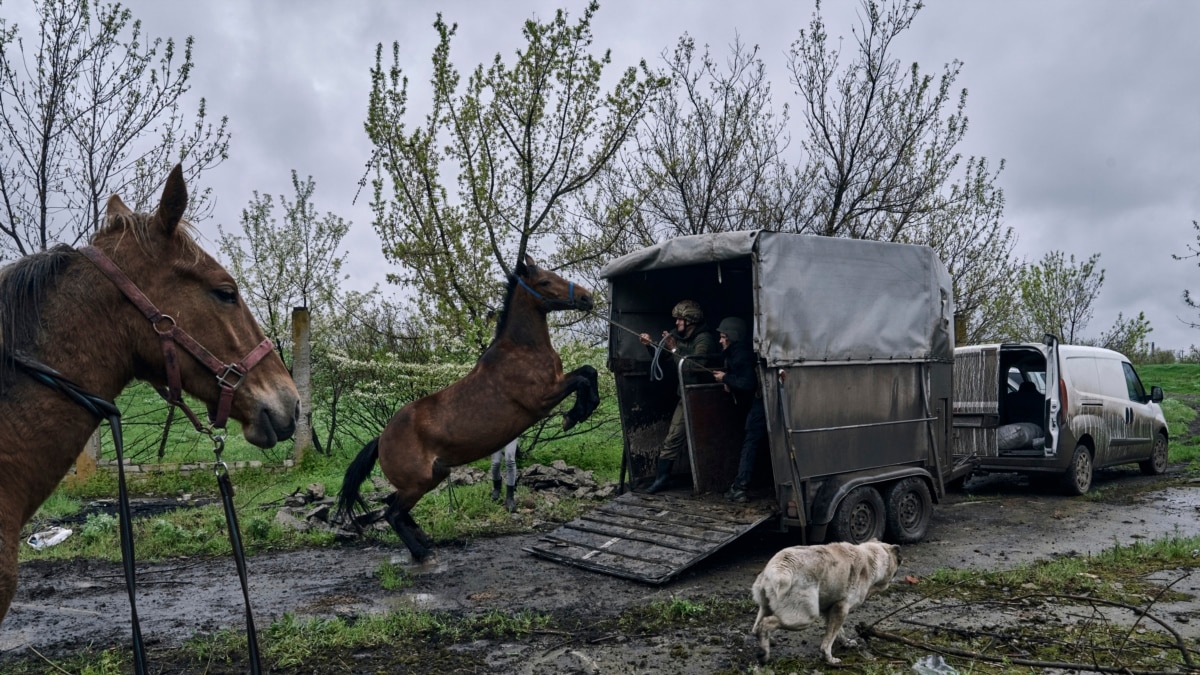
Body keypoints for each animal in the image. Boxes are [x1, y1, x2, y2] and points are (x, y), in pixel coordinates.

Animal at [338, 254, 600, 559]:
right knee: (392, 513)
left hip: (432, 477)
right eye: (545, 281)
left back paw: (426, 540)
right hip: (417, 483)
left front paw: (582, 409)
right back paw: (421, 552)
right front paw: (575, 415)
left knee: (393, 505)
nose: (586, 297)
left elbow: (589, 371)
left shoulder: (557, 382)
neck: (522, 350)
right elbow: (582, 379)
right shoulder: (542, 398)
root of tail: (381, 439)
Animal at [748, 535, 902, 662]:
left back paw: (765, 645)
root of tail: (779, 567)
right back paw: (764, 653)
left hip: (766, 607)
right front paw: (829, 658)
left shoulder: (831, 609)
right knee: (766, 623)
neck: (872, 558)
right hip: (804, 618)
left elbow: (838, 632)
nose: (900, 554)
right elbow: (828, 641)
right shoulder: (841, 608)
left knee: (757, 627)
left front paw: (846, 643)